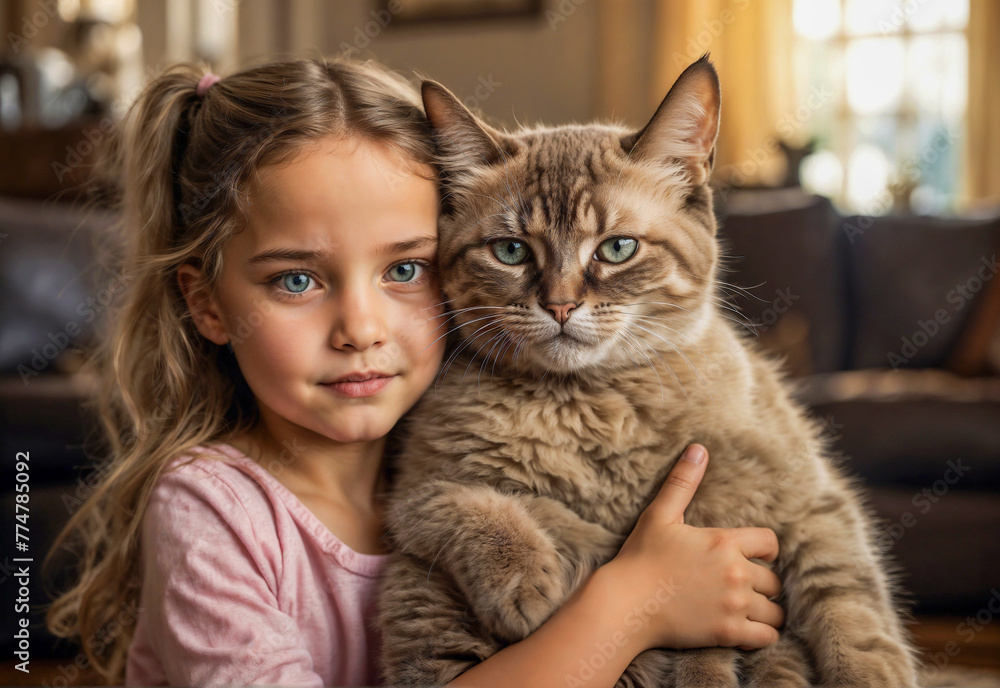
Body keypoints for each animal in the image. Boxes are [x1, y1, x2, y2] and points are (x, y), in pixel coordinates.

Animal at [376, 55, 920, 688]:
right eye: (511, 251)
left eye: (617, 249)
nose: (560, 306)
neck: (595, 405)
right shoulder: (415, 494)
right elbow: (497, 506)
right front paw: (531, 579)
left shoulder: (811, 502)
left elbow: (853, 613)